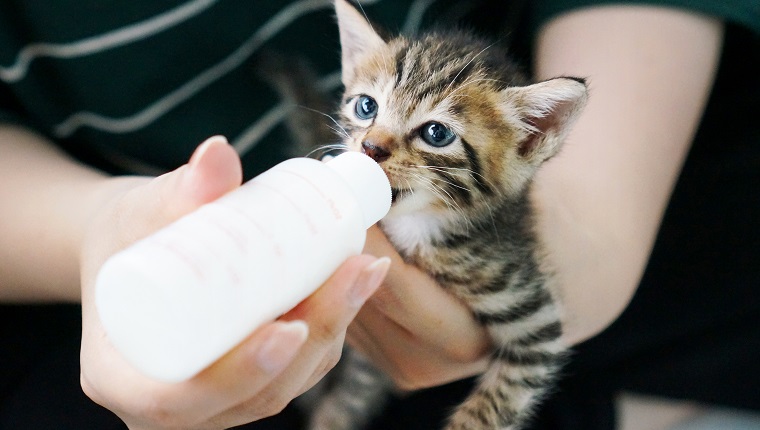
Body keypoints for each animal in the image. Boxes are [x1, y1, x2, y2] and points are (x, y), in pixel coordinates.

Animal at [308, 0, 588, 430]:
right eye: (366, 106)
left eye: (436, 134)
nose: (371, 147)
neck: (418, 227)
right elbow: (355, 388)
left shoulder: (535, 322)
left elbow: (494, 405)